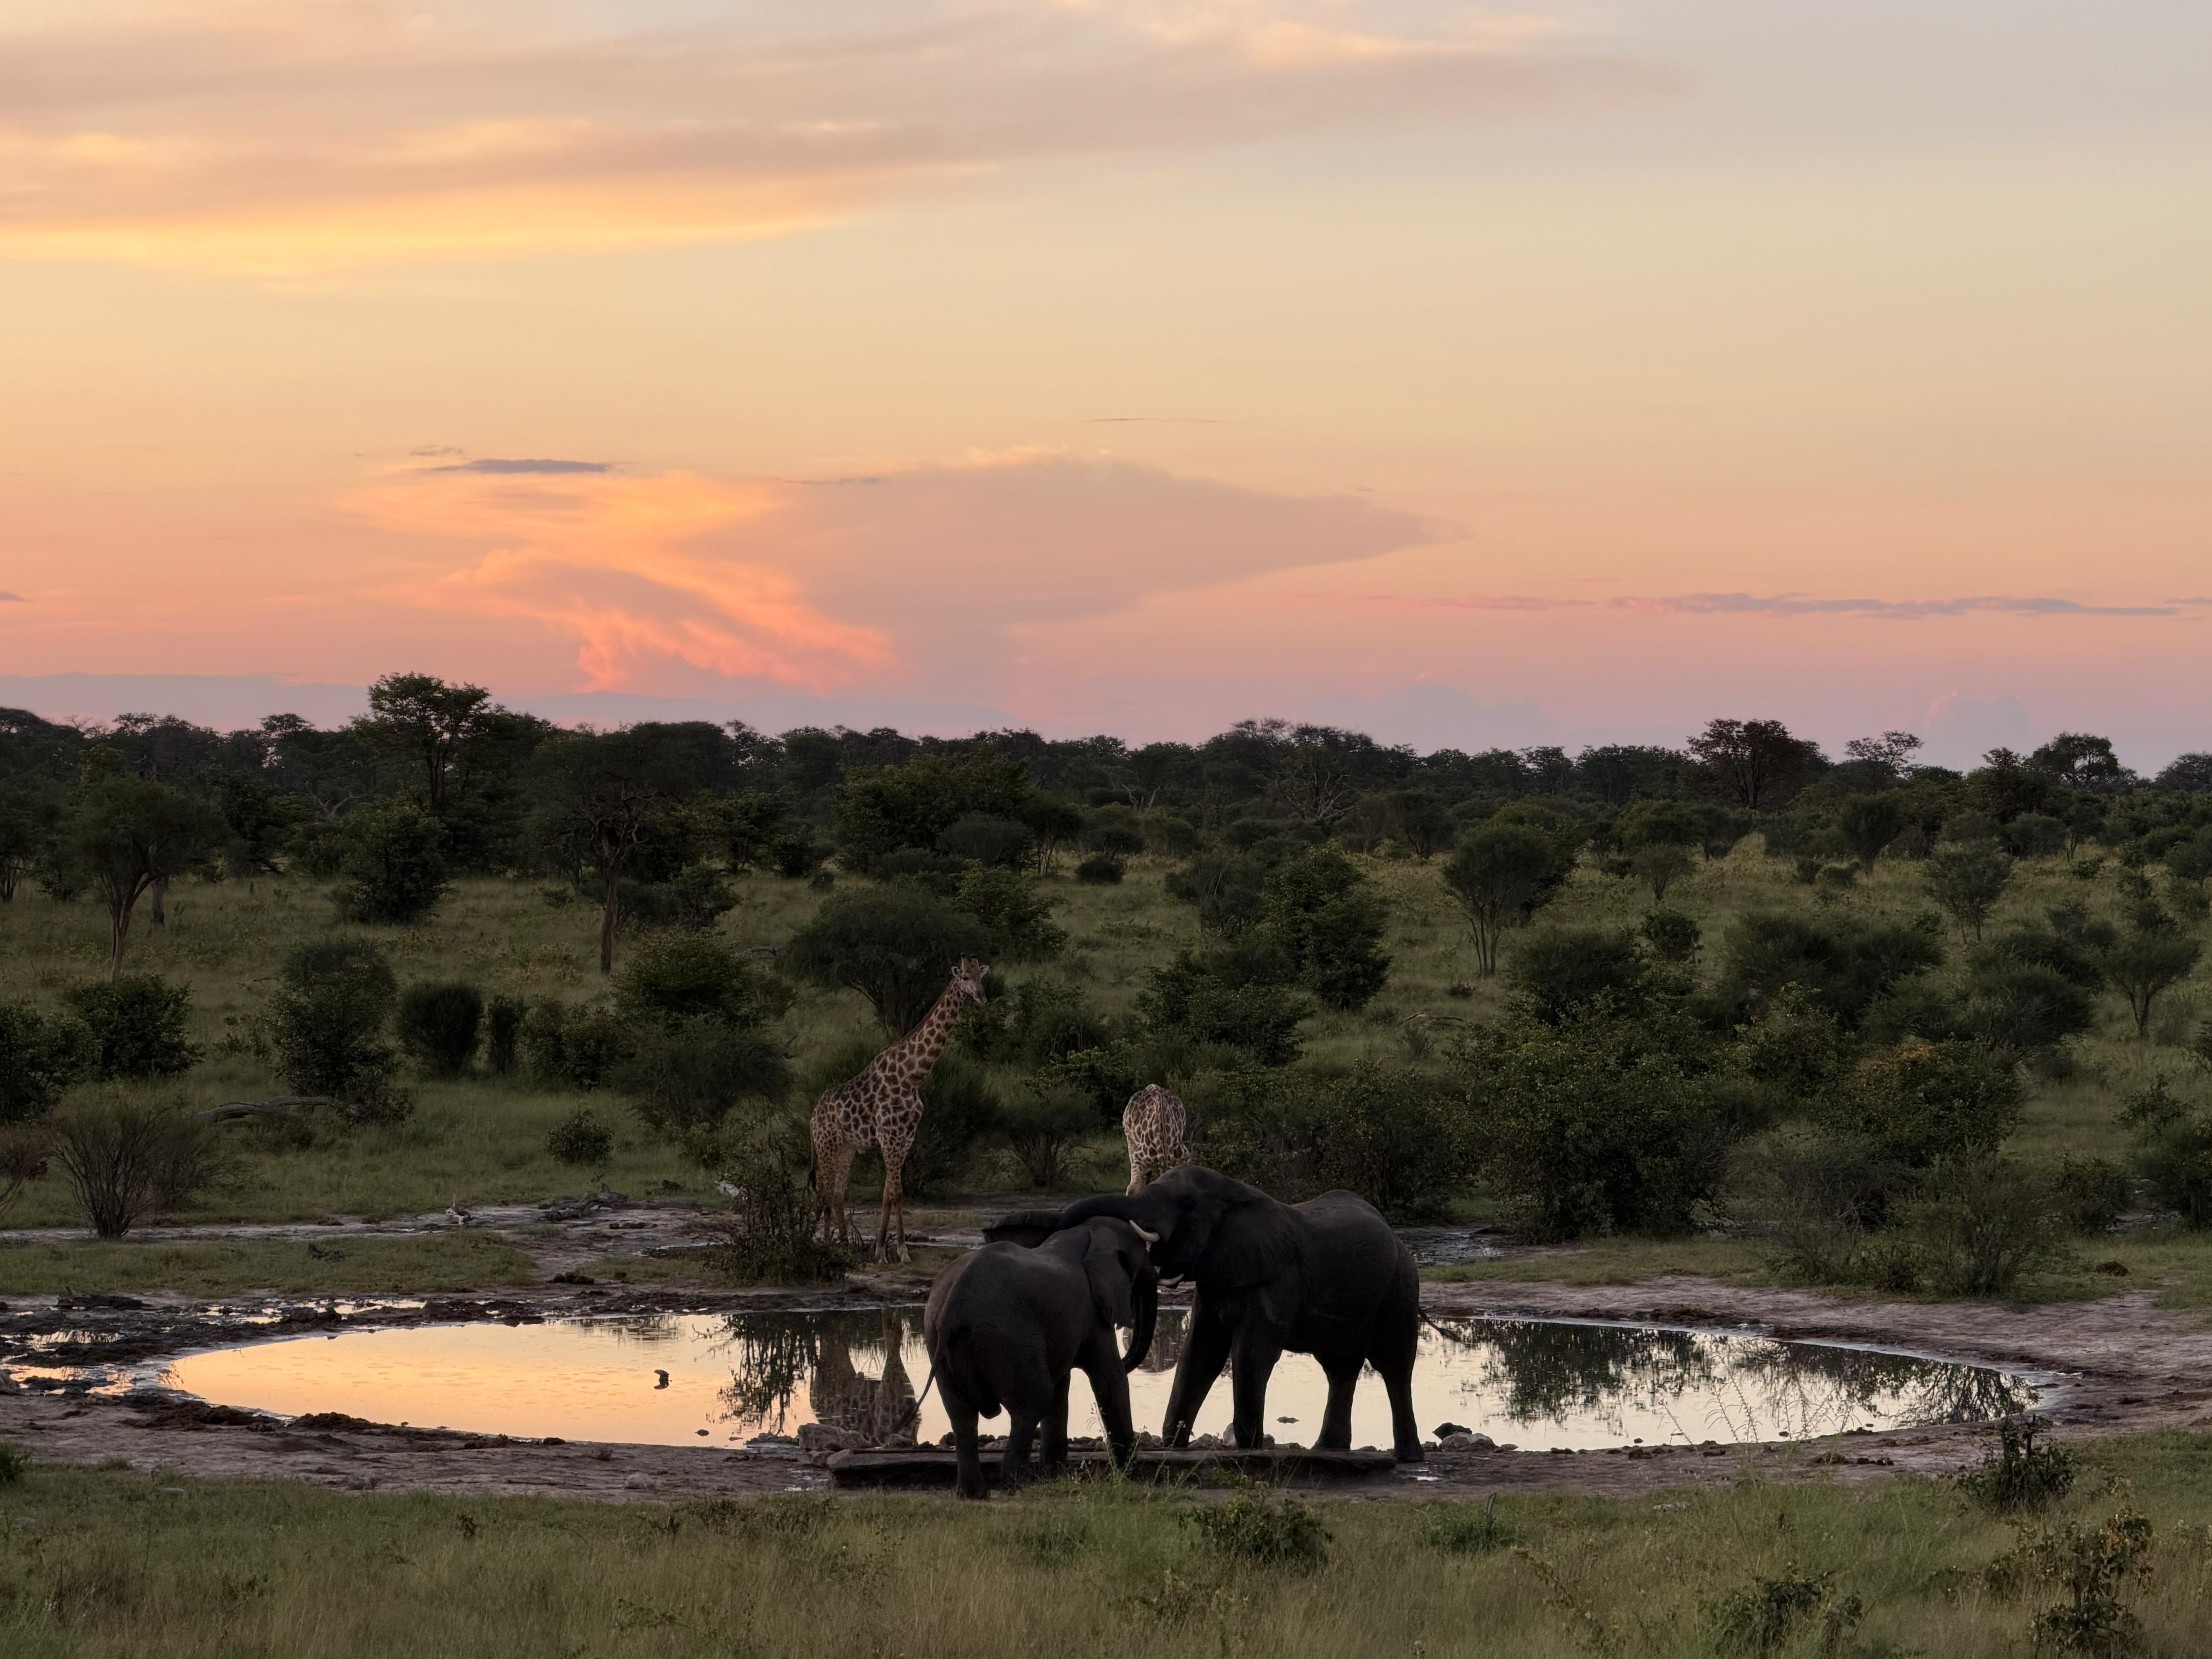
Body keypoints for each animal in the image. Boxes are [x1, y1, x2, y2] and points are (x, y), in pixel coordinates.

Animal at [812, 957, 988, 1263]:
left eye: (982, 976)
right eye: (965, 977)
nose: (979, 995)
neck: (913, 1075)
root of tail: (812, 1117)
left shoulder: (906, 1137)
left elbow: (889, 1194)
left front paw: (885, 1250)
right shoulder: (888, 1135)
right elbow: (896, 1192)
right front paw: (898, 1253)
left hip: (846, 1148)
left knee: (837, 1193)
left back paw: (845, 1247)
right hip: (827, 1146)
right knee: (825, 1192)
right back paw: (827, 1246)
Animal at [923, 1215, 1160, 1500]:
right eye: (1144, 1261)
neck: (1087, 1233)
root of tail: (954, 1303)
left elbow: (1063, 1388)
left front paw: (1054, 1476)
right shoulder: (1093, 1315)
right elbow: (1109, 1380)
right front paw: (1133, 1478)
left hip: (939, 1338)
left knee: (961, 1414)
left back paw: (974, 1494)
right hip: (1010, 1338)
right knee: (1034, 1400)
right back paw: (1015, 1483)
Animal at [985, 1165, 1424, 1462]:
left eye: (1187, 1206)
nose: (992, 1230)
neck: (1239, 1192)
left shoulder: (1279, 1277)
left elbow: (1251, 1355)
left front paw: (1250, 1448)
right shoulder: (1216, 1280)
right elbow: (1201, 1353)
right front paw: (1173, 1443)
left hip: (1401, 1284)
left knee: (1393, 1365)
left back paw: (1408, 1458)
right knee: (1340, 1368)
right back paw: (1328, 1448)